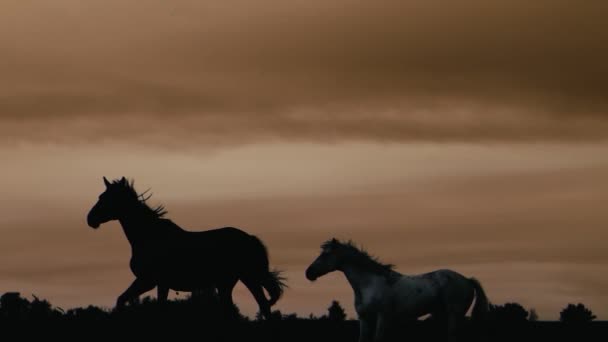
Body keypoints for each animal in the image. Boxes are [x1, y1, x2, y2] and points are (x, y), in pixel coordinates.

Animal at [86, 178, 286, 320]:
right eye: (100, 197)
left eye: (106, 198)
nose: (90, 219)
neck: (149, 236)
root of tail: (250, 238)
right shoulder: (156, 283)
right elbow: (130, 301)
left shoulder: (149, 281)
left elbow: (140, 304)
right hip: (230, 281)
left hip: (247, 277)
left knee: (262, 306)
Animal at [304, 239, 490, 340]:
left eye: (326, 255)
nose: (308, 273)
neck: (369, 284)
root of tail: (467, 280)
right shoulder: (364, 318)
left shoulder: (383, 317)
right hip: (442, 314)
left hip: (455, 314)